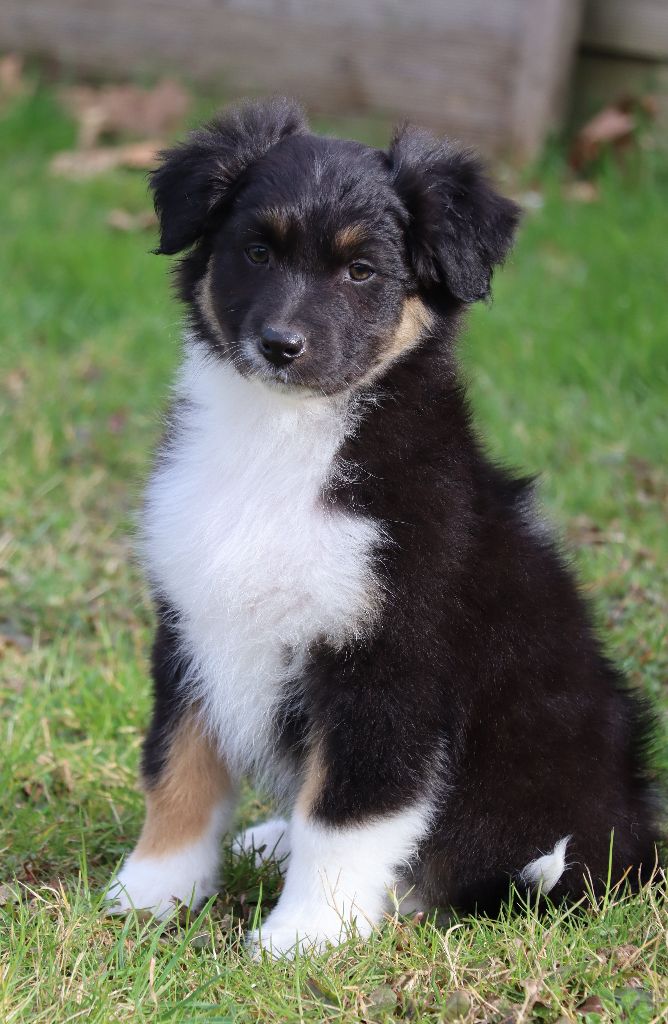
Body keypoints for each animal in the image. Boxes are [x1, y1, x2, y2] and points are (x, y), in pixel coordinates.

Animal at [108, 99, 655, 954]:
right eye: (256, 251)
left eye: (361, 272)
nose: (280, 345)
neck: (283, 442)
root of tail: (640, 837)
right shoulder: (190, 624)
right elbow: (178, 766)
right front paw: (152, 890)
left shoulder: (388, 662)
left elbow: (348, 811)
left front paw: (301, 938)